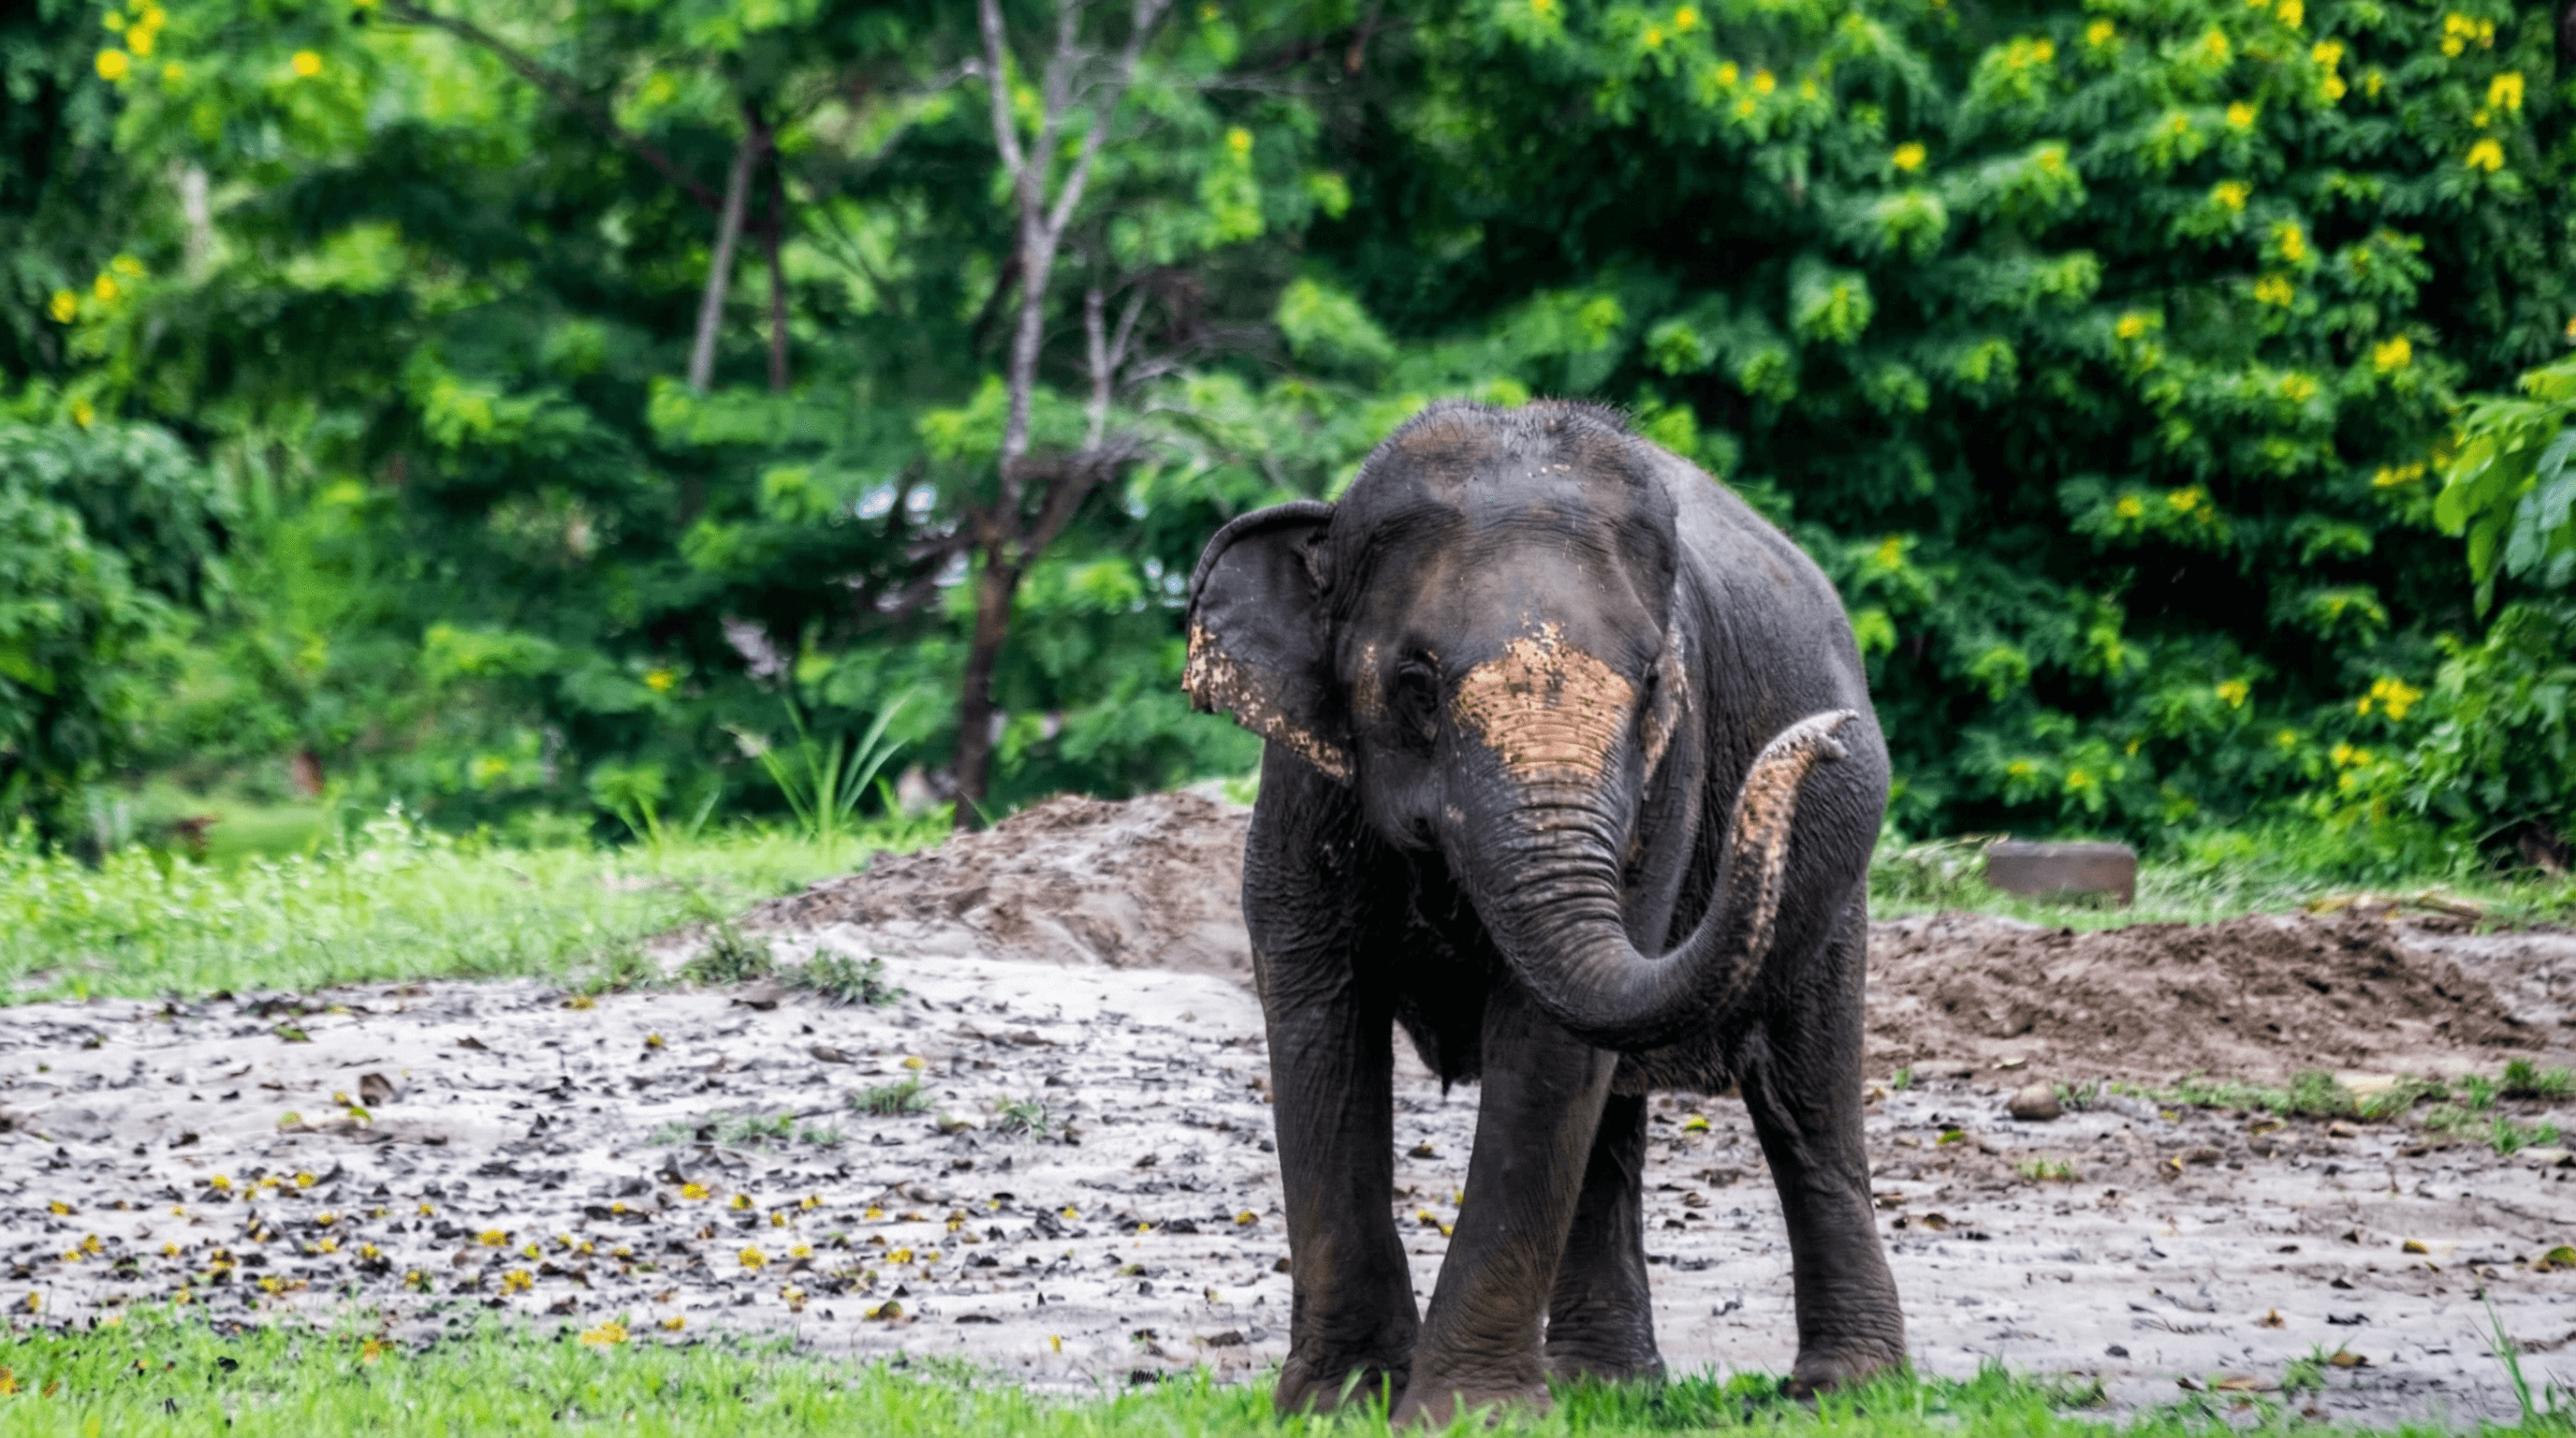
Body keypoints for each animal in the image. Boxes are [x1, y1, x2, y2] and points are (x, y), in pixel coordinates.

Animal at [1181, 399, 1904, 1425]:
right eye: (1414, 683)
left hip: (1838, 888)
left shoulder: (1666, 779)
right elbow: (1321, 1015)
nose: (1822, 745)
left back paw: (1836, 1391)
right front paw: (1338, 1405)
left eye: (1652, 685)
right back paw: (1603, 1387)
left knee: (1806, 1099)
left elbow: (1544, 1043)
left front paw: (1464, 1417)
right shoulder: (1304, 780)